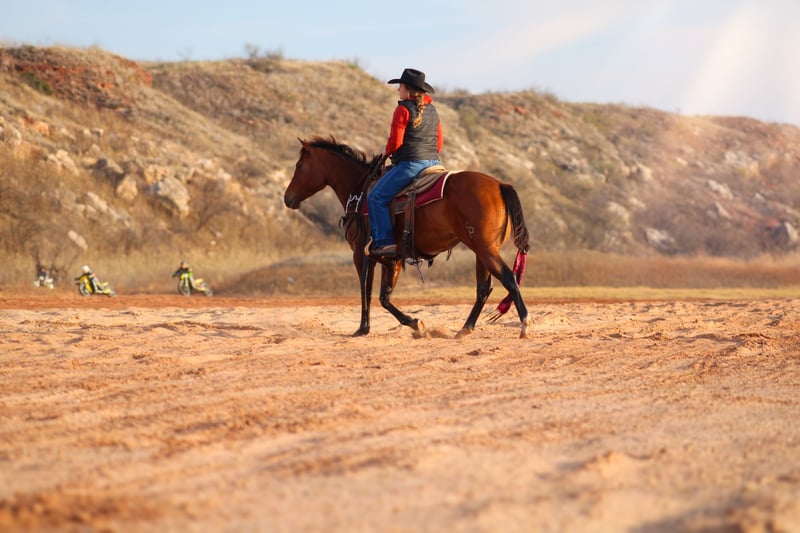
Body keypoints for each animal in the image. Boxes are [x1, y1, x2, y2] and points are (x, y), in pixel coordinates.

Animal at [283, 136, 532, 339]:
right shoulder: (392, 259)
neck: (362, 193)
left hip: (485, 249)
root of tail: (499, 185)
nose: (288, 198)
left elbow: (366, 290)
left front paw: (363, 329)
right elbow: (384, 297)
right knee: (483, 288)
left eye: (299, 165)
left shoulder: (361, 254)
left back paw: (524, 324)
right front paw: (414, 323)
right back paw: (464, 329)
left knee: (508, 278)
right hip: (482, 251)